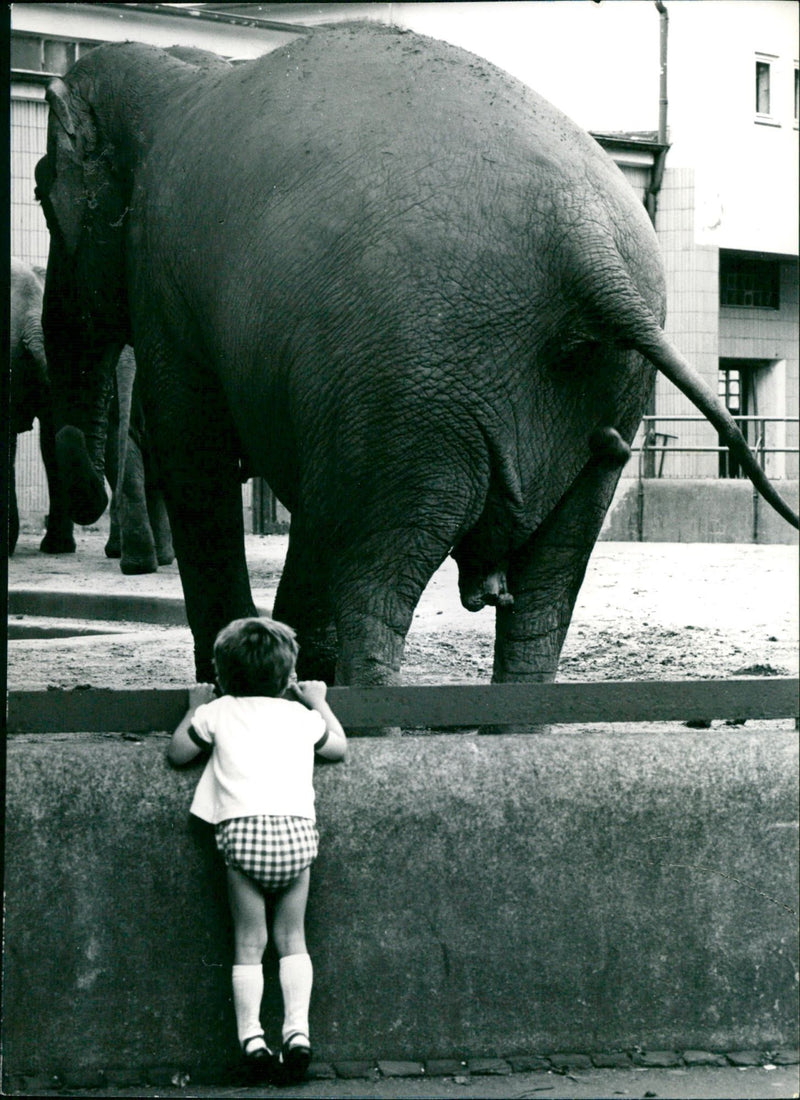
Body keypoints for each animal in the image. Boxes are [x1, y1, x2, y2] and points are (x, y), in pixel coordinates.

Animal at [33, 25, 798, 688]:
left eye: (40, 193)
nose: (86, 497)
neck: (182, 70)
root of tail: (587, 245)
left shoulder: (166, 280)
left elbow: (194, 454)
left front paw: (236, 675)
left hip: (410, 389)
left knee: (381, 569)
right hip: (582, 396)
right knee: (547, 580)